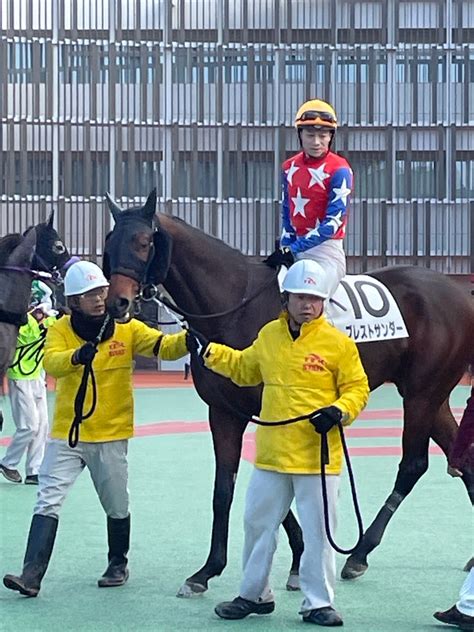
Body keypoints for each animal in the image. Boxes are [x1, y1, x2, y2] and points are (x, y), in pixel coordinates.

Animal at [102, 190, 472, 596]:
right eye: (109, 243)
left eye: (143, 242)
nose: (117, 302)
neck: (233, 306)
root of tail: (457, 291)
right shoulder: (224, 412)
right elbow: (224, 488)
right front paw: (208, 570)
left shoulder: (273, 411)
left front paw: (297, 559)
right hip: (431, 395)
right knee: (461, 457)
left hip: (422, 394)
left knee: (413, 465)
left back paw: (359, 554)